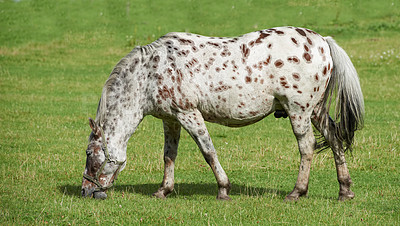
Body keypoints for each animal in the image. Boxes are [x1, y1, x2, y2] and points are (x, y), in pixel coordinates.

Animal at [79, 25, 364, 200]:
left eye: (89, 153)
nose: (85, 191)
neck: (150, 72)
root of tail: (322, 42)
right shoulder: (171, 120)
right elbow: (169, 156)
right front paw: (163, 190)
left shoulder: (189, 114)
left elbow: (208, 151)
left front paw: (223, 189)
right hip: (315, 111)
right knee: (335, 138)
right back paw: (345, 190)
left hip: (299, 111)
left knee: (307, 147)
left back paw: (297, 192)